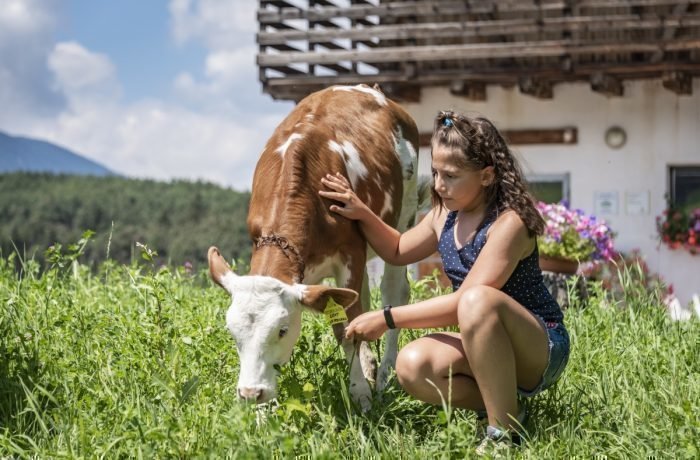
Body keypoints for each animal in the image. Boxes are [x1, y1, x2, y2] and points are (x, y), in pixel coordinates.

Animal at [205, 84, 418, 412]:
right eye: (233, 332)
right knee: (363, 299)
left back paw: (383, 377)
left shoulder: (350, 253)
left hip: (404, 218)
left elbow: (346, 328)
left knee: (393, 294)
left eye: (281, 330)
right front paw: (262, 414)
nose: (250, 392)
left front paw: (361, 396)